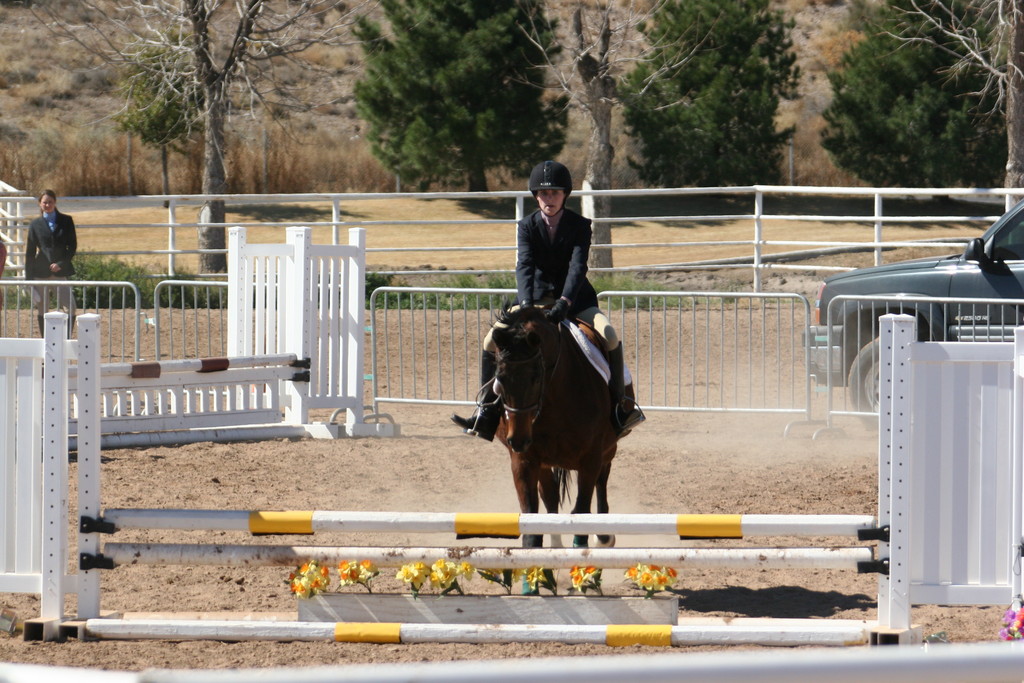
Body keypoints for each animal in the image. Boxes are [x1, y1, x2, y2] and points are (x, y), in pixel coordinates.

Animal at [489, 305, 618, 548]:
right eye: (499, 377)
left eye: (536, 377)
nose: (517, 439)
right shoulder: (524, 460)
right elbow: (532, 525)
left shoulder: (591, 458)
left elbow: (581, 511)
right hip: (543, 463)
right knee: (550, 497)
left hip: (607, 450)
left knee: (601, 485)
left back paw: (604, 537)